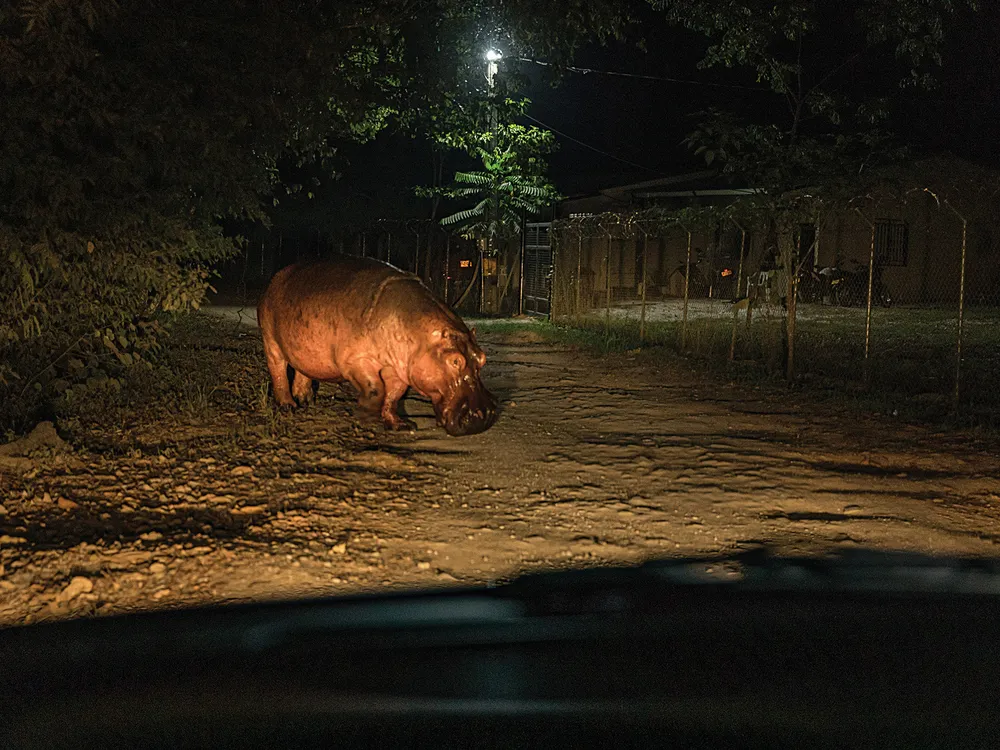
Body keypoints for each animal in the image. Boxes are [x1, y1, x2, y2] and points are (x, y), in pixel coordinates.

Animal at [254, 258, 496, 438]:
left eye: (483, 358)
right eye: (455, 360)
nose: (483, 416)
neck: (417, 331)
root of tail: (277, 277)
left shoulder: (399, 368)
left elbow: (393, 395)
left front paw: (401, 425)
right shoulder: (356, 359)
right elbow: (375, 388)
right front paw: (365, 413)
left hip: (302, 348)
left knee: (302, 370)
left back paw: (306, 400)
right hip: (270, 340)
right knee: (278, 371)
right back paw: (288, 406)